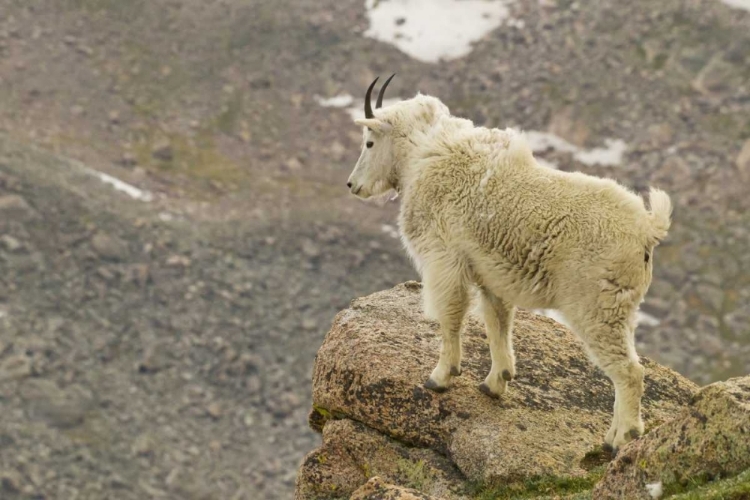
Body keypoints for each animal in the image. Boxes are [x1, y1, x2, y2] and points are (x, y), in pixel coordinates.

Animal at [348, 75, 676, 454]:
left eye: (369, 142)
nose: (352, 185)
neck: (424, 154)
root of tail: (648, 230)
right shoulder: (491, 274)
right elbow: (497, 323)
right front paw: (496, 381)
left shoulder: (443, 259)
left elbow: (450, 317)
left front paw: (440, 377)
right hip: (622, 307)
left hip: (597, 306)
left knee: (629, 371)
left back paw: (620, 438)